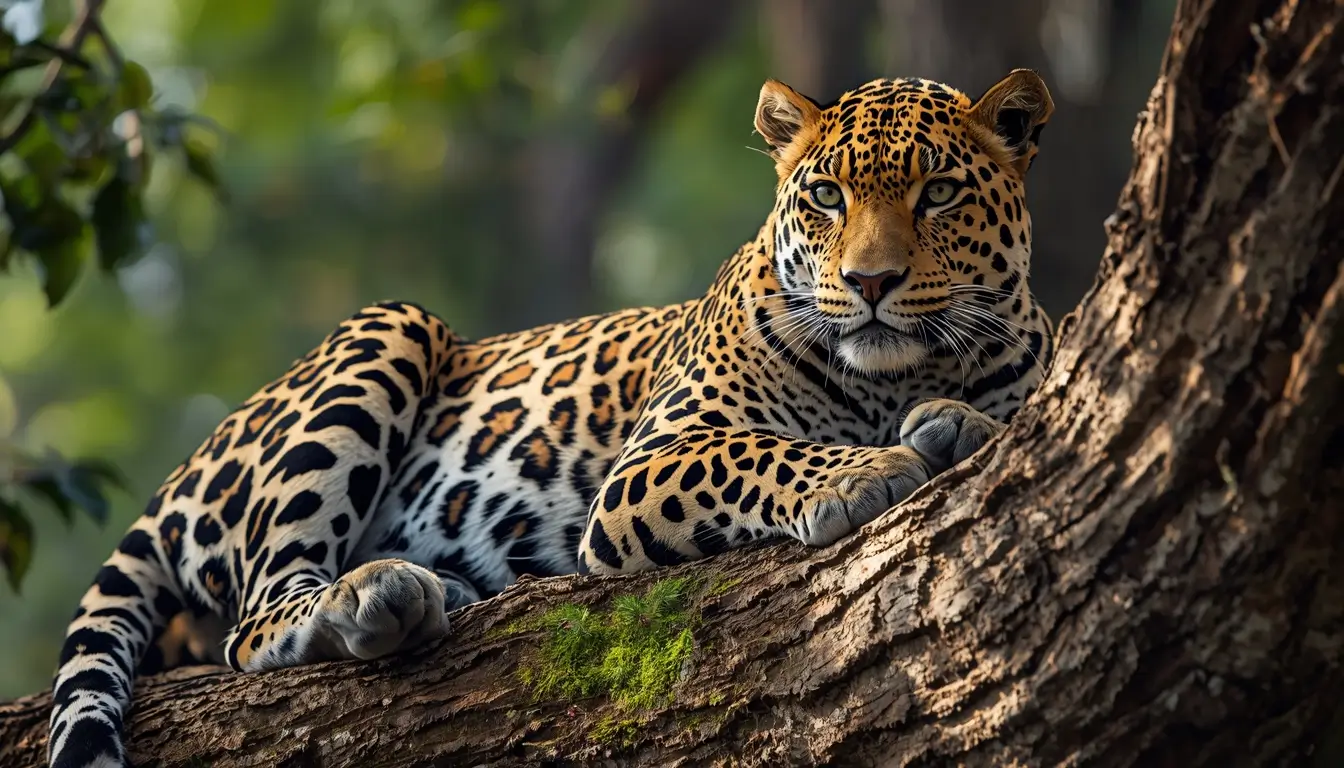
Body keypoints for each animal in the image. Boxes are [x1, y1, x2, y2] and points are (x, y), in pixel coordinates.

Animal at [47, 68, 1056, 768]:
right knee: (255, 616)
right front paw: (864, 471)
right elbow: (760, 451)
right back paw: (378, 593)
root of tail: (191, 465)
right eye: (826, 197)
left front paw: (952, 426)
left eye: (939, 194)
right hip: (389, 328)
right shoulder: (655, 460)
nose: (869, 281)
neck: (893, 376)